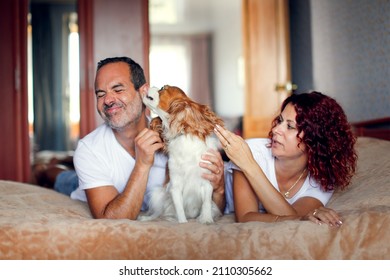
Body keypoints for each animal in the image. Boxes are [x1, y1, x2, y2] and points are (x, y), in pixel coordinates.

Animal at [139, 85, 225, 223]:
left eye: (162, 88)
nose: (149, 86)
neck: (183, 136)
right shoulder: (175, 186)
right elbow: (180, 211)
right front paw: (183, 223)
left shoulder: (207, 181)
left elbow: (206, 202)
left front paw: (206, 220)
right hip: (158, 193)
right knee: (158, 212)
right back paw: (147, 218)